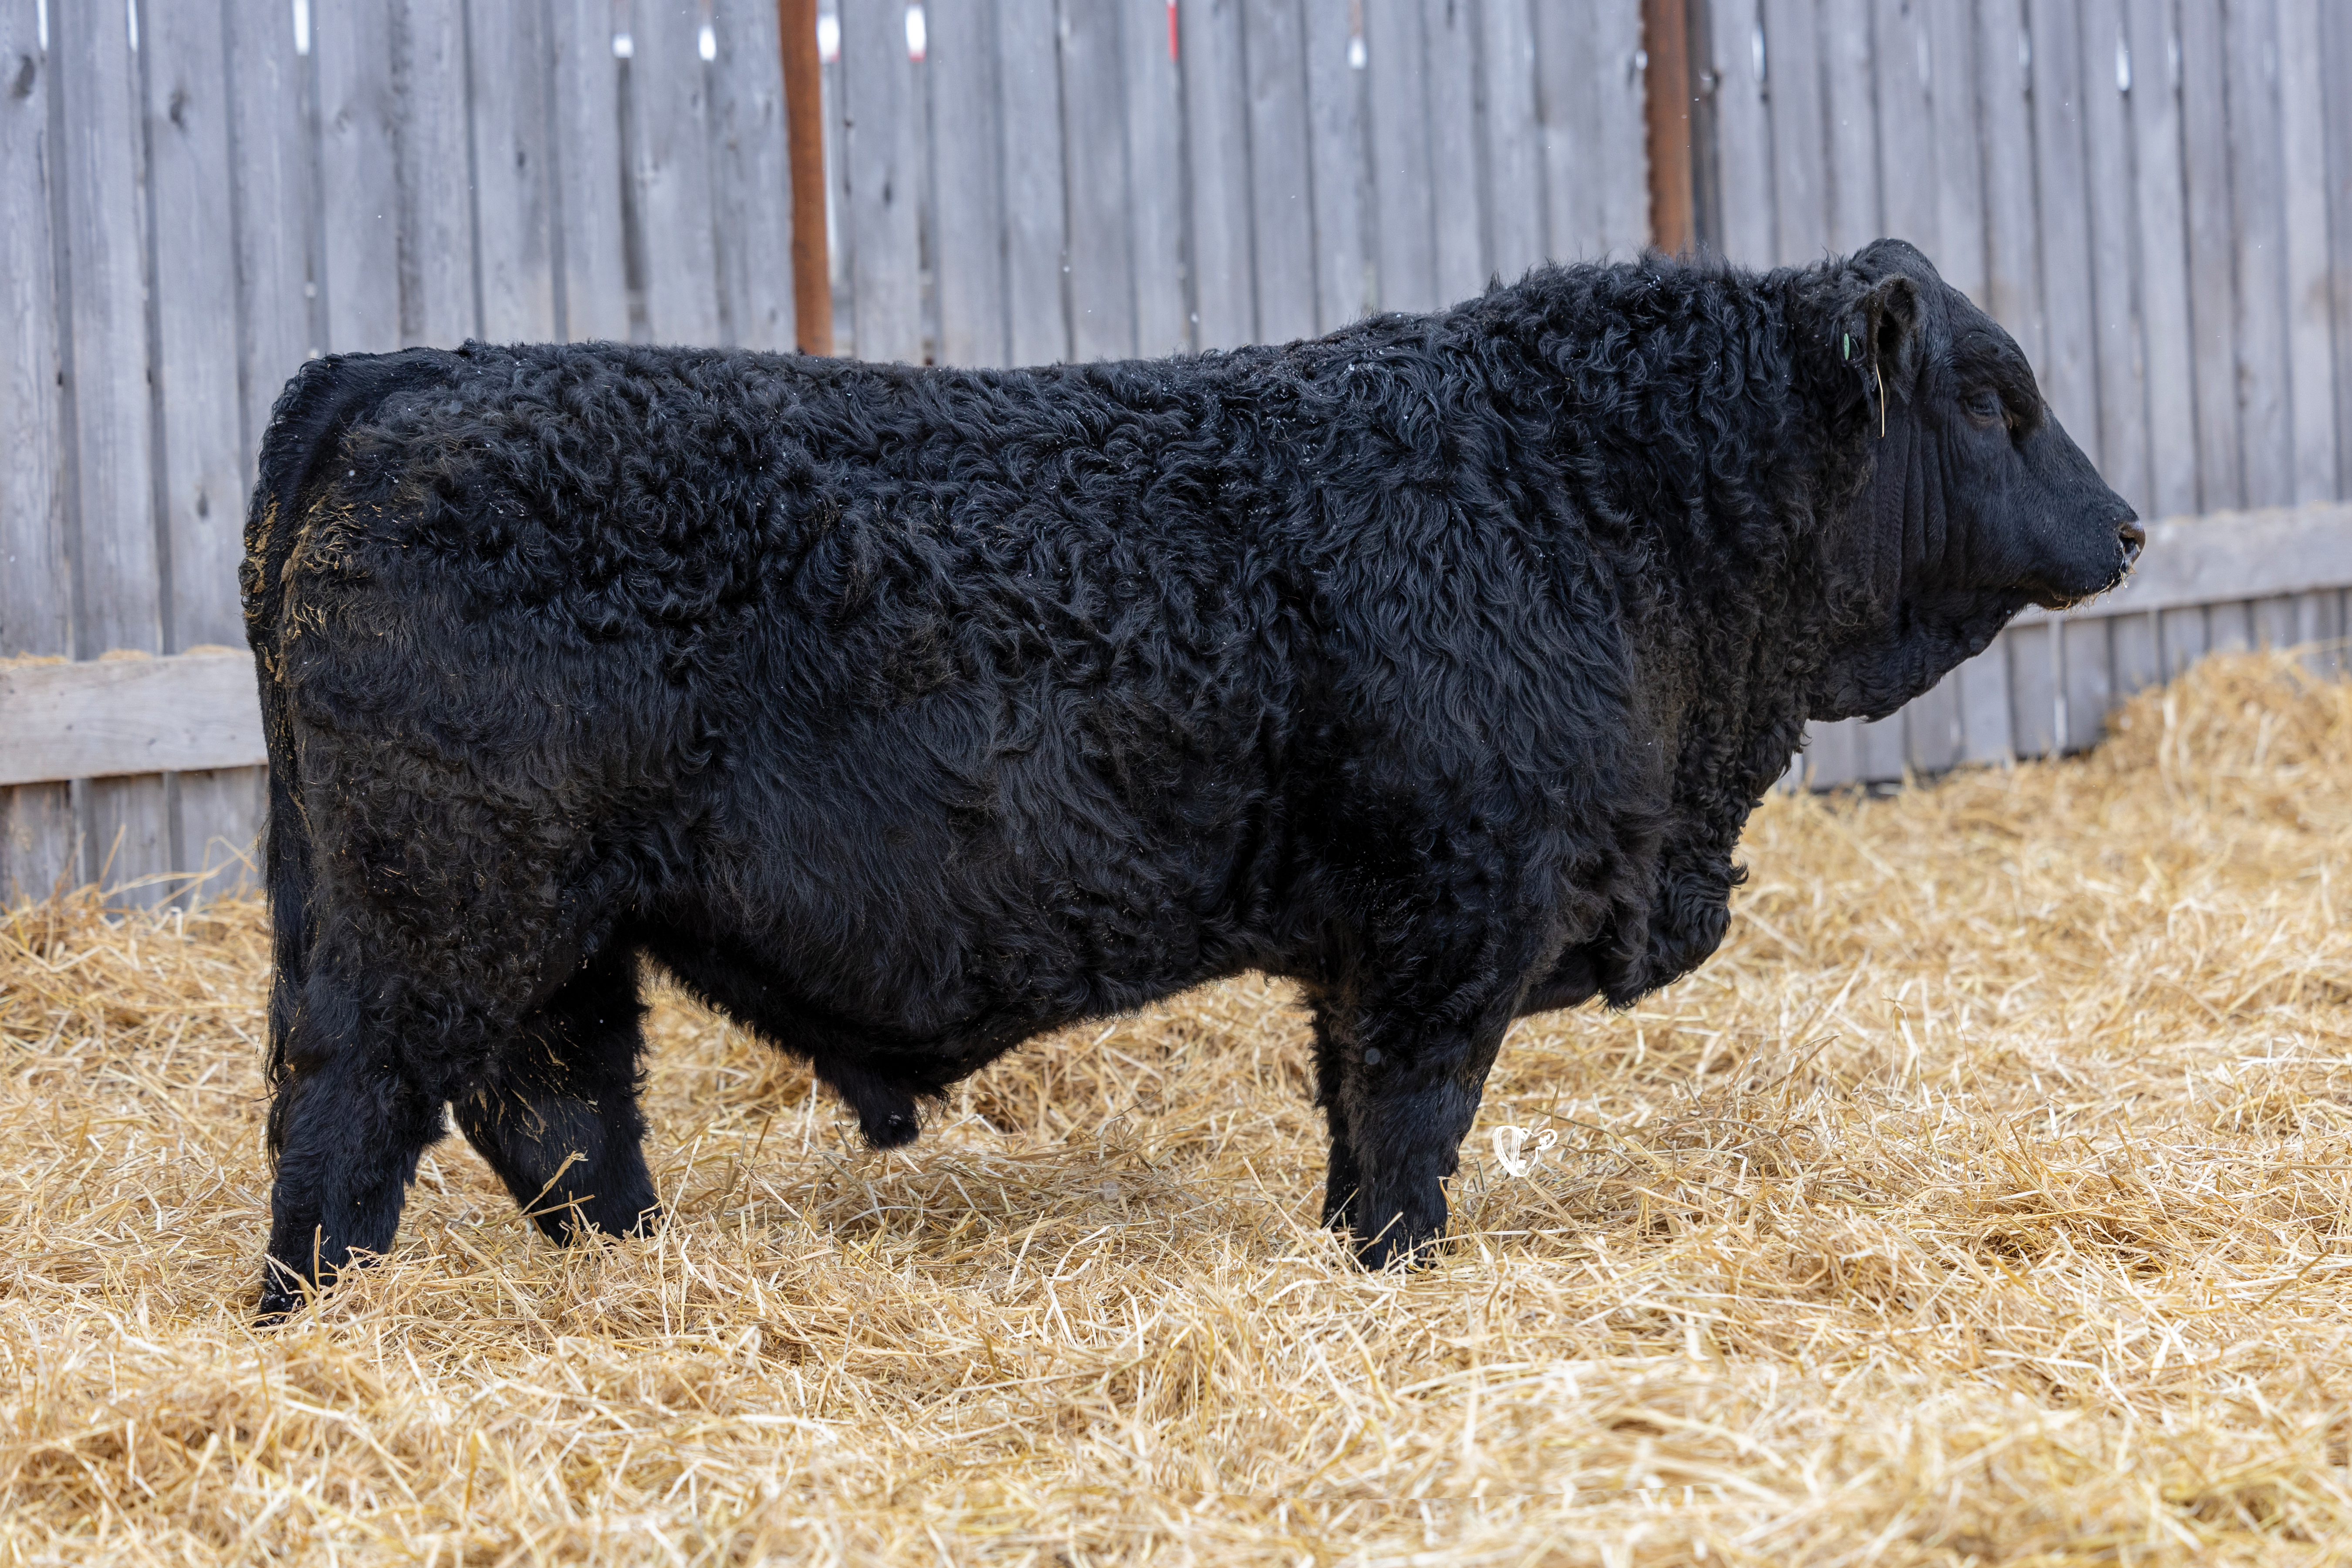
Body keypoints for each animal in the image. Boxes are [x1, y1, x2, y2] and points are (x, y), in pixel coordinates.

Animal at [241, 239, 2139, 1318]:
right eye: (1998, 397)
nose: (2126, 526)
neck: (1587, 496)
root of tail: (401, 374)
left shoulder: (1372, 944)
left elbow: (1353, 1132)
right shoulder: (1450, 921)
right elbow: (1411, 1130)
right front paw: (1401, 1282)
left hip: (548, 927)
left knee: (557, 1112)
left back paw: (642, 1276)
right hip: (438, 905)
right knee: (361, 1109)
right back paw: (315, 1319)